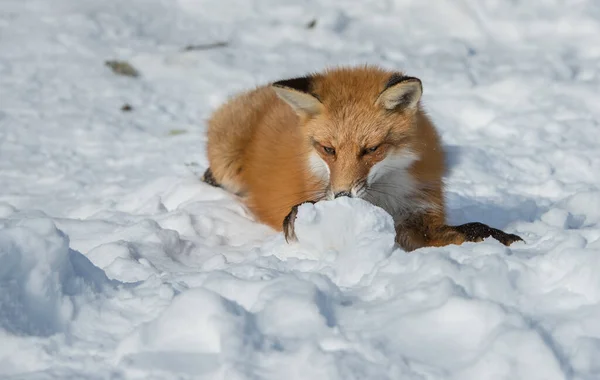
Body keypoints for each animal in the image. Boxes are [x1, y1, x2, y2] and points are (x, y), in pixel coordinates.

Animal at [200, 64, 520, 252]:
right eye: (328, 149)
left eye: (371, 149)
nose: (343, 195)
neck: (382, 197)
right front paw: (295, 216)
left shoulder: (418, 215)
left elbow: (470, 229)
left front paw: (502, 238)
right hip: (227, 162)